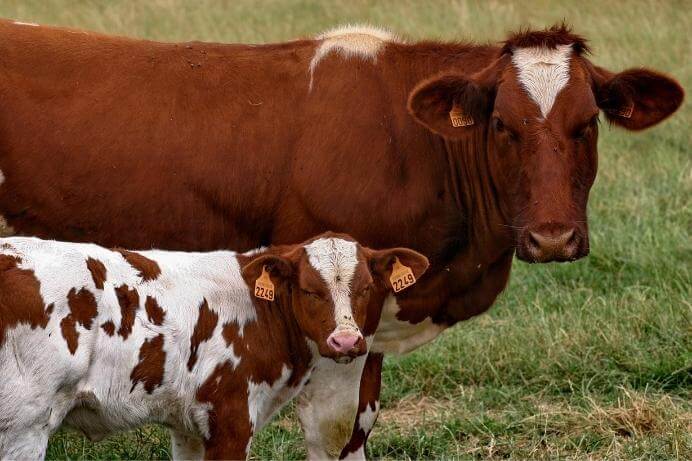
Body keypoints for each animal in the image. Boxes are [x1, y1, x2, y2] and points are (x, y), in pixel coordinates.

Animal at [0, 235, 428, 458]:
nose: (346, 341)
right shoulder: (231, 418)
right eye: (309, 290)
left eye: (367, 288)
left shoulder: (188, 424)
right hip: (25, 424)